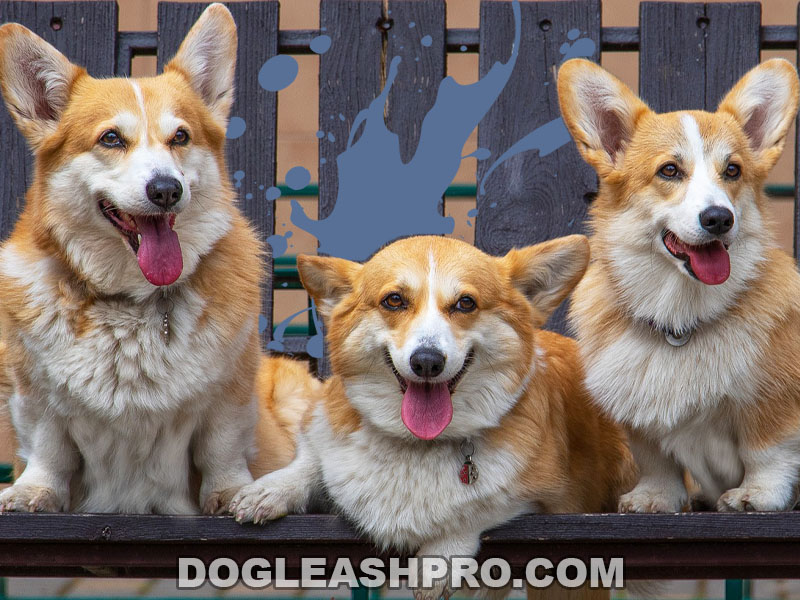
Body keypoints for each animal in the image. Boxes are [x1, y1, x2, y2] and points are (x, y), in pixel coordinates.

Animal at [0, 2, 314, 512]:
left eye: (180, 137)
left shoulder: (229, 394)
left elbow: (221, 447)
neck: (133, 301)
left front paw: (231, 492)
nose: (166, 190)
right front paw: (33, 491)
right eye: (111, 139)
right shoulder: (34, 393)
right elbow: (48, 448)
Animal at [228, 237, 636, 596]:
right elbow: (310, 463)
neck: (416, 445)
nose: (427, 361)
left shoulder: (550, 499)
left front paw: (439, 559)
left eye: (466, 303)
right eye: (394, 300)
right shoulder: (322, 437)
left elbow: (481, 507)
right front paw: (269, 490)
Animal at [556, 59, 800, 510]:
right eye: (669, 170)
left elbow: (767, 451)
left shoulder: (774, 399)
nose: (719, 218)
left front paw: (758, 495)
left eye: (733, 170)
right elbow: (656, 462)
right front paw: (655, 497)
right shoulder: (638, 417)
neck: (680, 320)